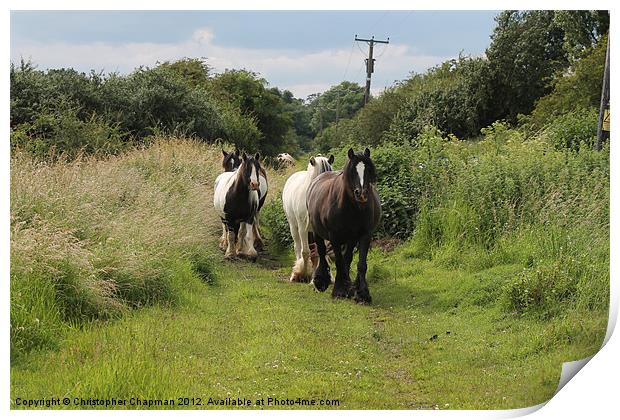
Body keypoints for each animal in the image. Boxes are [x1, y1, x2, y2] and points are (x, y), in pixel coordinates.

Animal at [284, 154, 336, 282]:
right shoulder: (303, 228)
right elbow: (305, 252)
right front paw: (301, 273)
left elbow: (322, 252)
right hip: (294, 226)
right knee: (298, 247)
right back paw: (296, 273)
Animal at [306, 147, 380, 302]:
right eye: (352, 171)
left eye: (369, 170)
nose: (361, 193)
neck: (353, 208)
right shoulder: (334, 236)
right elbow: (339, 262)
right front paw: (339, 290)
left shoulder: (364, 235)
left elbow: (360, 264)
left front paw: (362, 293)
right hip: (317, 232)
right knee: (322, 252)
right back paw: (321, 281)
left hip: (350, 239)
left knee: (347, 258)